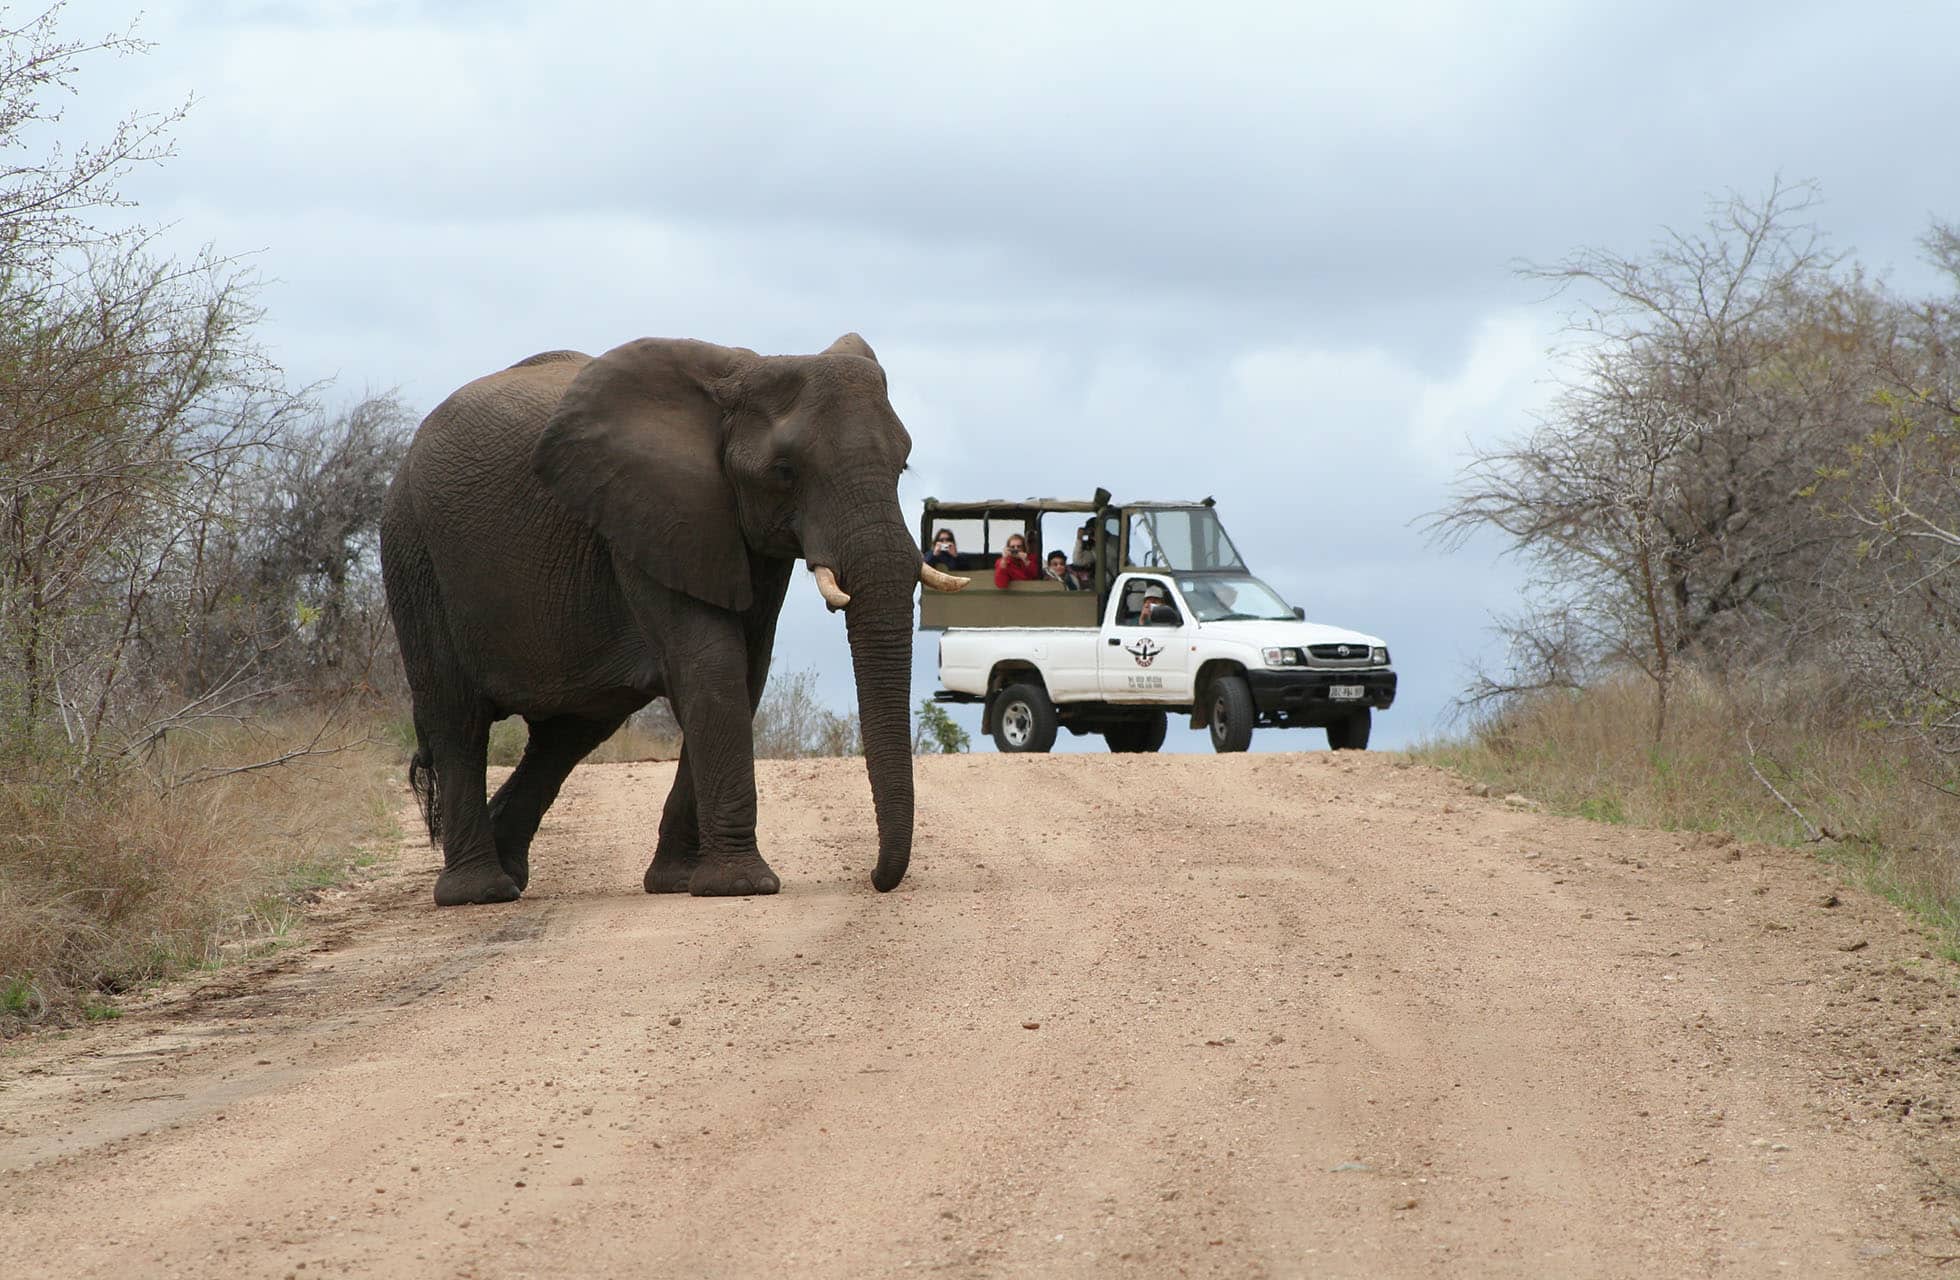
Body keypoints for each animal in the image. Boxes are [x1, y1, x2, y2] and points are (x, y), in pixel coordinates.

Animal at [379, 334, 968, 907]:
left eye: (902, 466)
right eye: (784, 473)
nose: (874, 879)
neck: (738, 376)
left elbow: (744, 673)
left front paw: (679, 881)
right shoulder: (648, 517)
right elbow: (712, 669)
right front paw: (741, 887)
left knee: (570, 732)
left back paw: (509, 872)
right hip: (414, 555)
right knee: (458, 719)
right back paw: (479, 893)